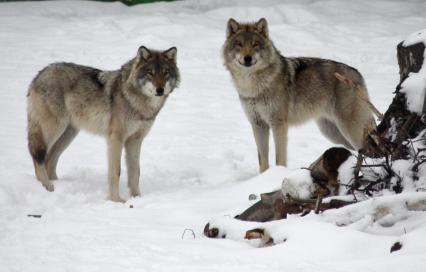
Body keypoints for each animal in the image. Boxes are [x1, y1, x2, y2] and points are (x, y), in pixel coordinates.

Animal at [26, 45, 180, 201]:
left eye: (166, 73)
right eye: (150, 73)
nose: (160, 90)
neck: (137, 103)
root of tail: (38, 75)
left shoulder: (135, 140)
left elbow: (135, 171)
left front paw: (137, 198)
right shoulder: (116, 139)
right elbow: (116, 171)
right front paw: (116, 200)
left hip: (68, 134)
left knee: (49, 159)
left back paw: (57, 185)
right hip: (54, 129)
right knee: (37, 155)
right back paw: (47, 187)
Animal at [223, 18, 376, 173]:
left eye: (255, 44)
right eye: (239, 44)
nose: (247, 58)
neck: (253, 87)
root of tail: (357, 74)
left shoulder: (278, 124)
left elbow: (279, 158)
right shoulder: (258, 124)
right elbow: (263, 161)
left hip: (350, 131)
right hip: (333, 133)